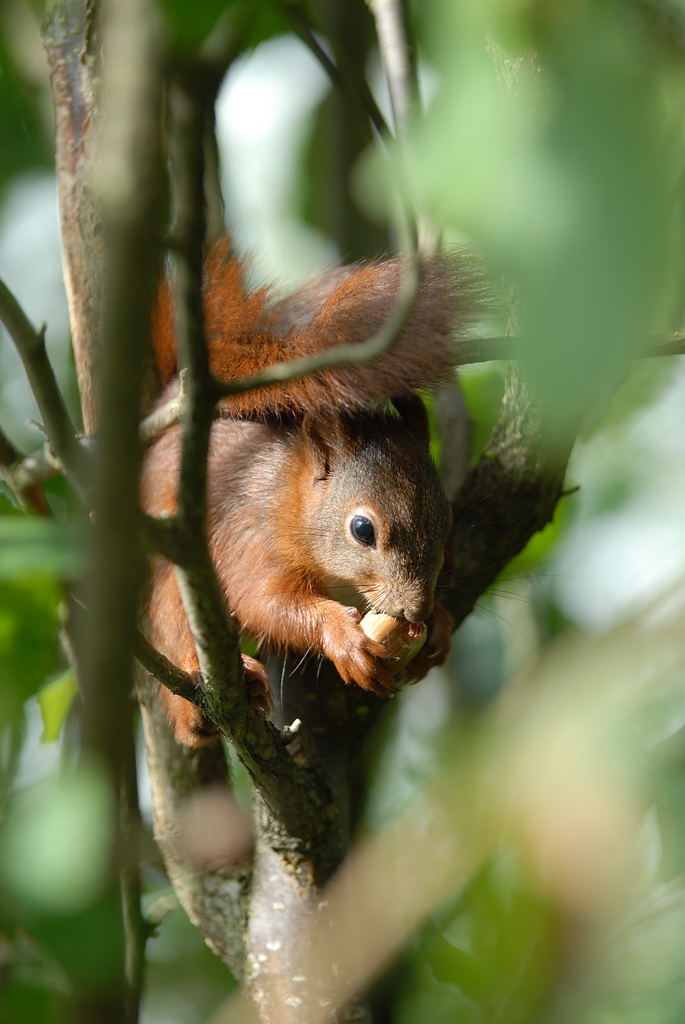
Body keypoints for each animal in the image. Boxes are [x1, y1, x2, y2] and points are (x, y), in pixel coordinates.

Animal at [141, 240, 483, 746]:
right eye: (362, 529)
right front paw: (342, 637)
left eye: (448, 519)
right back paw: (200, 705)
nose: (416, 607)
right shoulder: (250, 531)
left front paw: (438, 620)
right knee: (175, 622)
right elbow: (265, 600)